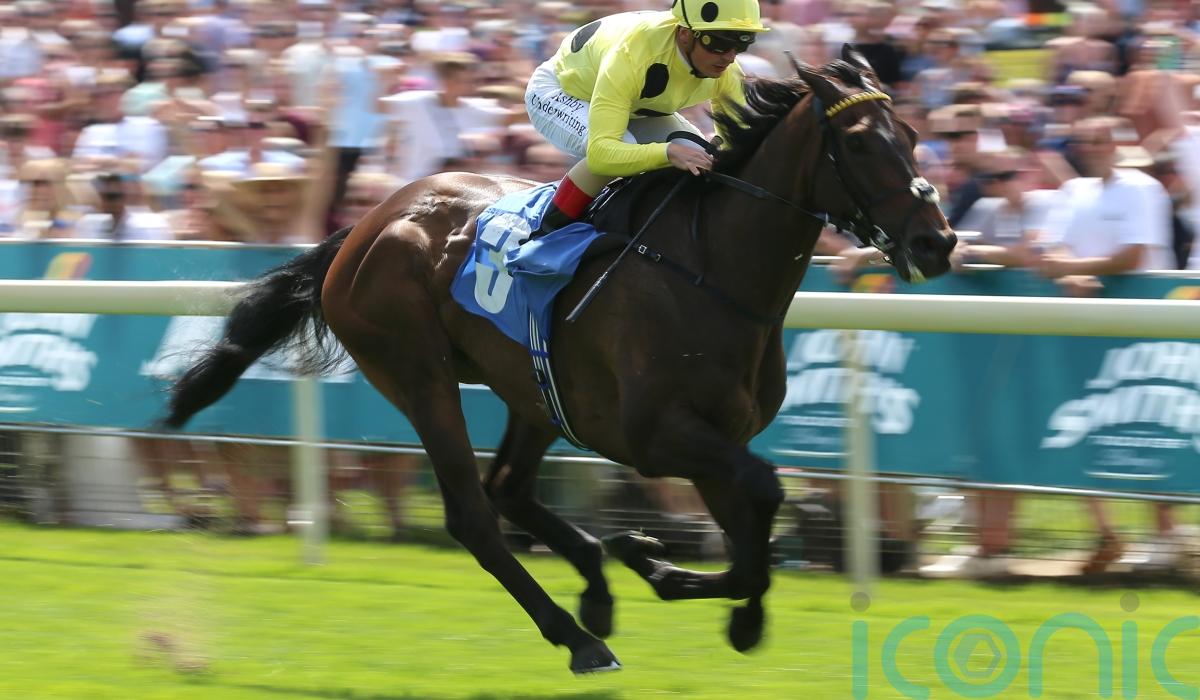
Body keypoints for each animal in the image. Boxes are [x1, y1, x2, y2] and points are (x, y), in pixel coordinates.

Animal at [160, 47, 956, 674]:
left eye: (914, 135)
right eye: (860, 144)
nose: (936, 241)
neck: (711, 271)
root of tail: (364, 225)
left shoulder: (716, 437)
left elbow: (751, 520)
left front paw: (679, 576)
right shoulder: (655, 435)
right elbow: (763, 492)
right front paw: (676, 575)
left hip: (533, 390)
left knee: (509, 487)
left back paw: (597, 588)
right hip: (419, 374)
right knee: (474, 514)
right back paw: (577, 637)